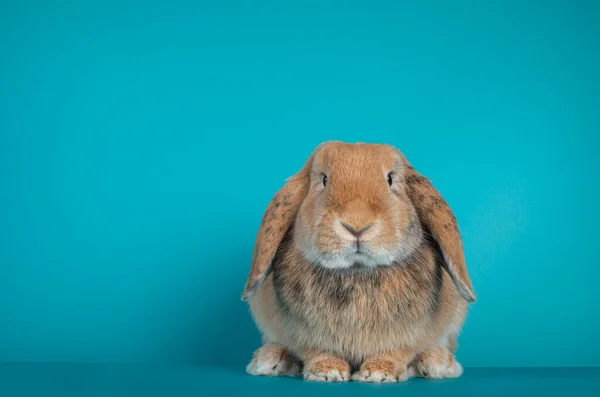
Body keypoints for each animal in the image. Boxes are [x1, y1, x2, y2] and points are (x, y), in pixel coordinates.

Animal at [239, 142, 474, 380]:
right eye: (324, 180)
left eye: (390, 179)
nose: (357, 224)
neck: (357, 269)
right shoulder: (304, 336)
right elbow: (316, 351)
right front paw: (327, 371)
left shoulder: (408, 337)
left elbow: (397, 351)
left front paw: (380, 372)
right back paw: (270, 359)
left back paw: (438, 362)